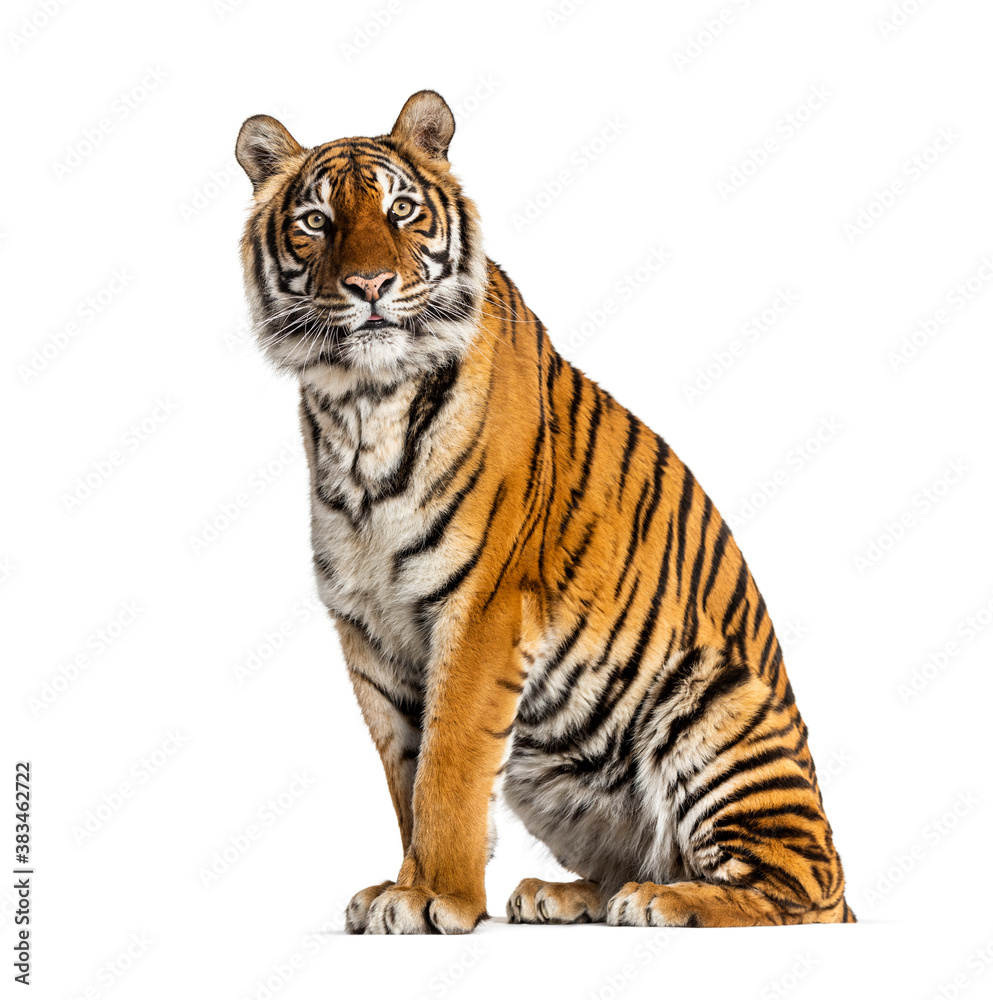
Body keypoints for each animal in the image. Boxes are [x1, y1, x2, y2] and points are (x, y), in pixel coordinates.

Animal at [235, 90, 854, 933]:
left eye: (401, 211)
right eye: (316, 221)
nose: (369, 285)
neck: (359, 407)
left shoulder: (482, 609)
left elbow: (447, 768)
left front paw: (433, 896)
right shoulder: (368, 631)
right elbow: (405, 777)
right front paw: (401, 885)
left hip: (718, 707)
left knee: (800, 888)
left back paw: (663, 900)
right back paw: (562, 894)